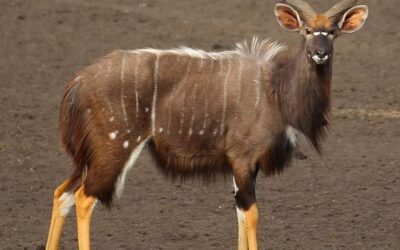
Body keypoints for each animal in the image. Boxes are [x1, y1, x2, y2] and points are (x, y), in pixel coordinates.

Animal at [46, 0, 368, 249]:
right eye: (307, 31)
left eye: (333, 32)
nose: (320, 53)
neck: (276, 89)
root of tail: (78, 82)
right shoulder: (242, 158)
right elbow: (252, 214)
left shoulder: (243, 166)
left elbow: (240, 213)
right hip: (114, 147)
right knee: (83, 198)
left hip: (89, 155)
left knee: (63, 193)